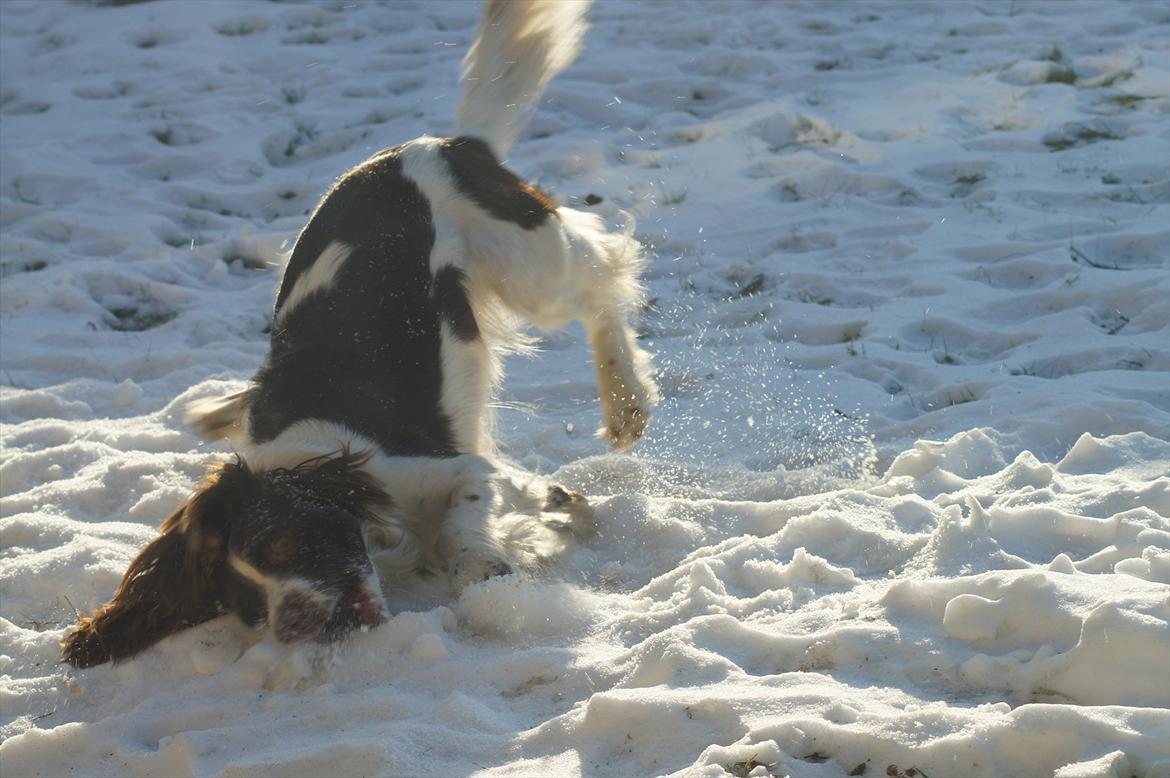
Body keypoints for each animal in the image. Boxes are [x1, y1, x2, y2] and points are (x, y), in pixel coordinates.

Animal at [61, 0, 659, 669]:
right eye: (244, 604)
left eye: (283, 544)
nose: (293, 623)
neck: (313, 459)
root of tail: (444, 143)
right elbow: (531, 493)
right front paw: (559, 508)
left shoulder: (450, 469)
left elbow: (461, 525)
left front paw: (484, 572)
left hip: (528, 264)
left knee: (603, 277)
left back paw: (626, 401)